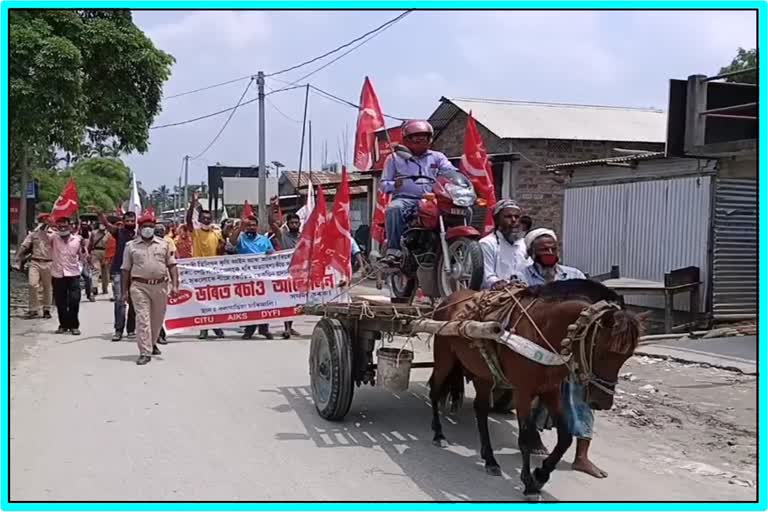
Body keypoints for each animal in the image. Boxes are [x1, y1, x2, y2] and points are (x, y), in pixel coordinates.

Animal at [426, 280, 640, 500]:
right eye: (603, 352)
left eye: (627, 356)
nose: (602, 403)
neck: (542, 330)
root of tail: (448, 299)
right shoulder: (523, 392)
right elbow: (525, 438)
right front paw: (529, 484)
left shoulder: (550, 390)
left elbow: (565, 437)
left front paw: (541, 476)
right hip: (444, 358)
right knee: (434, 391)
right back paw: (439, 435)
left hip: (483, 374)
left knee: (481, 410)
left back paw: (490, 460)